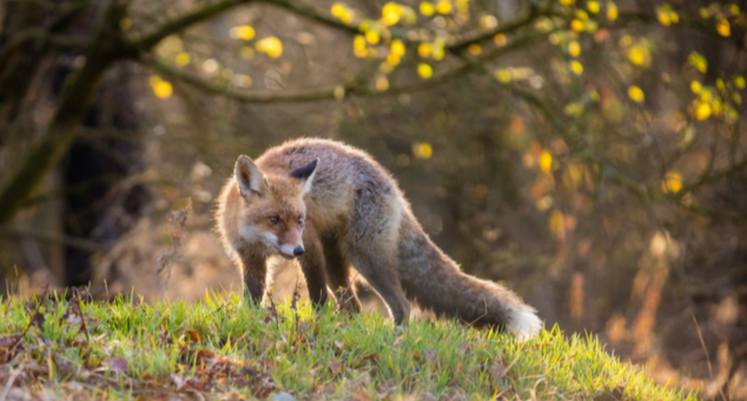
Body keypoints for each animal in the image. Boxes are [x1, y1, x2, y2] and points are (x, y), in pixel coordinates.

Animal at [216, 138, 544, 338]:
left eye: (300, 220)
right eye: (274, 219)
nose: (295, 250)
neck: (256, 238)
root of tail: (394, 186)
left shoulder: (311, 249)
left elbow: (317, 297)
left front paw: (317, 325)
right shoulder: (251, 259)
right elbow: (252, 298)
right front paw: (248, 322)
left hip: (365, 258)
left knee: (402, 305)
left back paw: (394, 338)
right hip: (338, 264)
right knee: (354, 306)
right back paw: (352, 330)